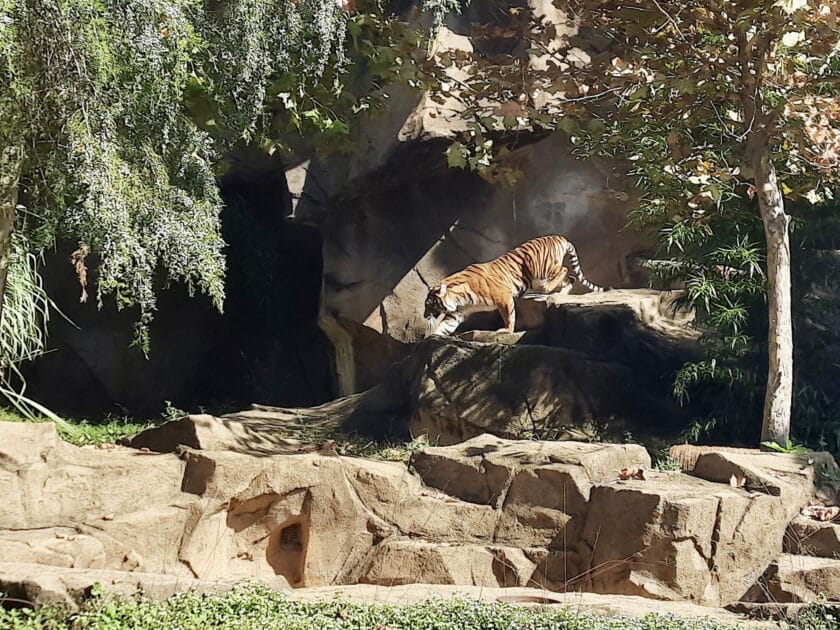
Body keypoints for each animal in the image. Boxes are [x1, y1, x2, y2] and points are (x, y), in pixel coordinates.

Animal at [424, 234, 606, 337]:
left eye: (429, 304)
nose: (425, 316)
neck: (458, 298)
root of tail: (559, 237)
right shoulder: (458, 313)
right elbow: (445, 325)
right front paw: (432, 338)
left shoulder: (503, 297)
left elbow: (509, 315)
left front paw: (507, 331)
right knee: (570, 278)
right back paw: (560, 294)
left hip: (540, 269)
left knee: (565, 270)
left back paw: (548, 289)